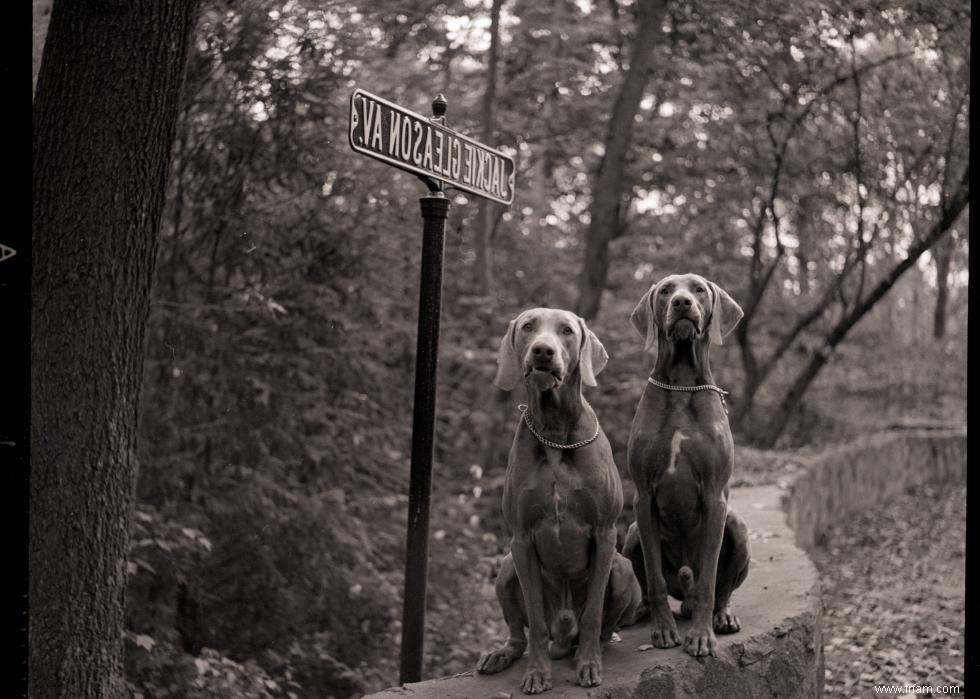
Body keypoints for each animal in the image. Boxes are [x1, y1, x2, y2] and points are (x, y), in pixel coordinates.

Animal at [476, 310, 644, 696]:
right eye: (528, 327)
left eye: (567, 331)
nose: (543, 351)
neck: (554, 433)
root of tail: (563, 636)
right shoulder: (521, 539)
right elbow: (536, 623)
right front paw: (537, 673)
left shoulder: (605, 532)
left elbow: (594, 612)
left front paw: (589, 665)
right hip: (507, 566)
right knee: (519, 635)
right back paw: (501, 654)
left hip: (623, 569)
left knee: (599, 627)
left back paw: (590, 649)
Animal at [620, 276, 752, 660]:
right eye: (665, 290)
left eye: (698, 289)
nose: (681, 303)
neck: (679, 383)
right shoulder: (643, 497)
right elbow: (654, 577)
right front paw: (664, 631)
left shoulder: (715, 496)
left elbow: (709, 578)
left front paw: (701, 637)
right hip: (631, 532)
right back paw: (642, 613)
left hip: (737, 526)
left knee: (719, 590)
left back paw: (722, 616)